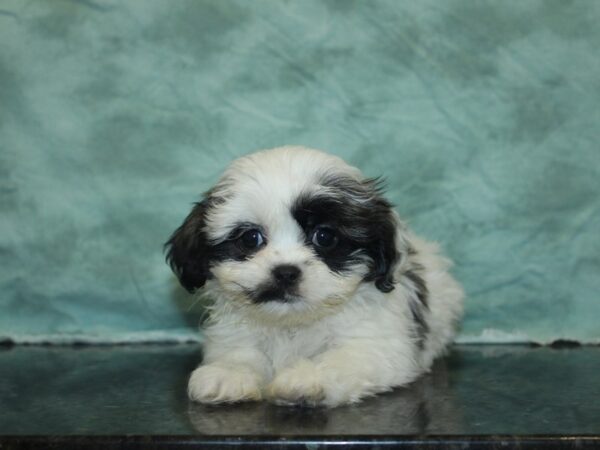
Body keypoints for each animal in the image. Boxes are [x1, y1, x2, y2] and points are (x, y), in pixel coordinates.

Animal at [165, 146, 464, 406]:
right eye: (250, 239)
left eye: (324, 237)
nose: (286, 272)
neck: (293, 322)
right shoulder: (234, 334)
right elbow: (240, 353)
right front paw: (227, 373)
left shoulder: (375, 343)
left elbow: (342, 360)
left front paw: (306, 378)